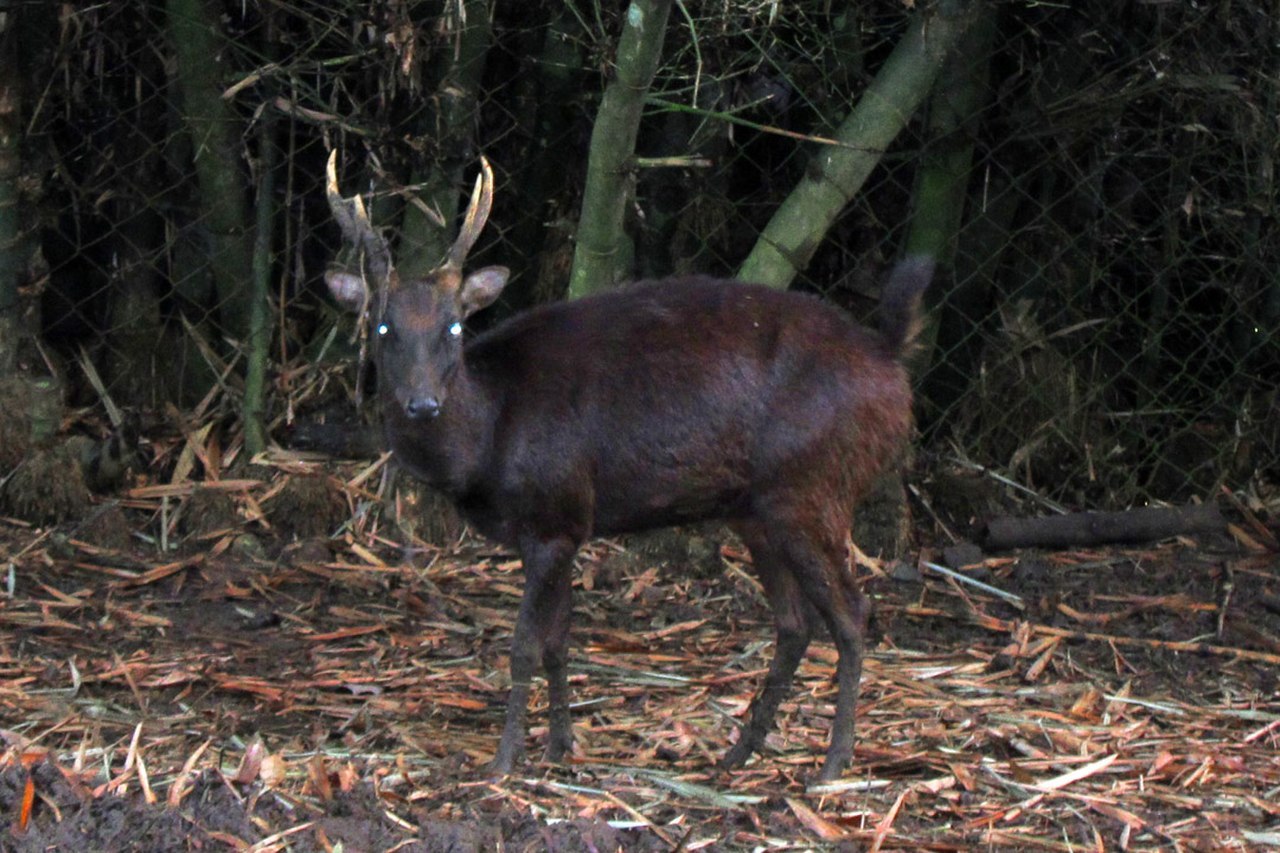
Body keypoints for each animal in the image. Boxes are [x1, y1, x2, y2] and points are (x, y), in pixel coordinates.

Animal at [325, 151, 936, 778]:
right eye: (382, 326)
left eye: (454, 326)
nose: (423, 404)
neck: (487, 440)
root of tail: (890, 360)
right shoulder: (565, 525)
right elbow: (557, 643)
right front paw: (560, 746)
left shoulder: (552, 514)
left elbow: (523, 647)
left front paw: (503, 762)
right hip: (759, 510)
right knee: (794, 623)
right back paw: (738, 752)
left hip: (812, 488)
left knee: (853, 612)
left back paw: (834, 764)